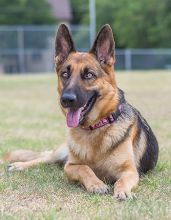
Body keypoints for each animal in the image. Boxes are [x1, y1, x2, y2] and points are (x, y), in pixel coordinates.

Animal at [5, 24, 159, 201]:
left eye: (89, 75)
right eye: (65, 74)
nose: (66, 99)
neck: (94, 128)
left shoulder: (130, 171)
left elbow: (121, 181)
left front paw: (122, 191)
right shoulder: (70, 166)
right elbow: (85, 168)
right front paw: (96, 184)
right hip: (61, 153)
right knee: (44, 158)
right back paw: (19, 165)